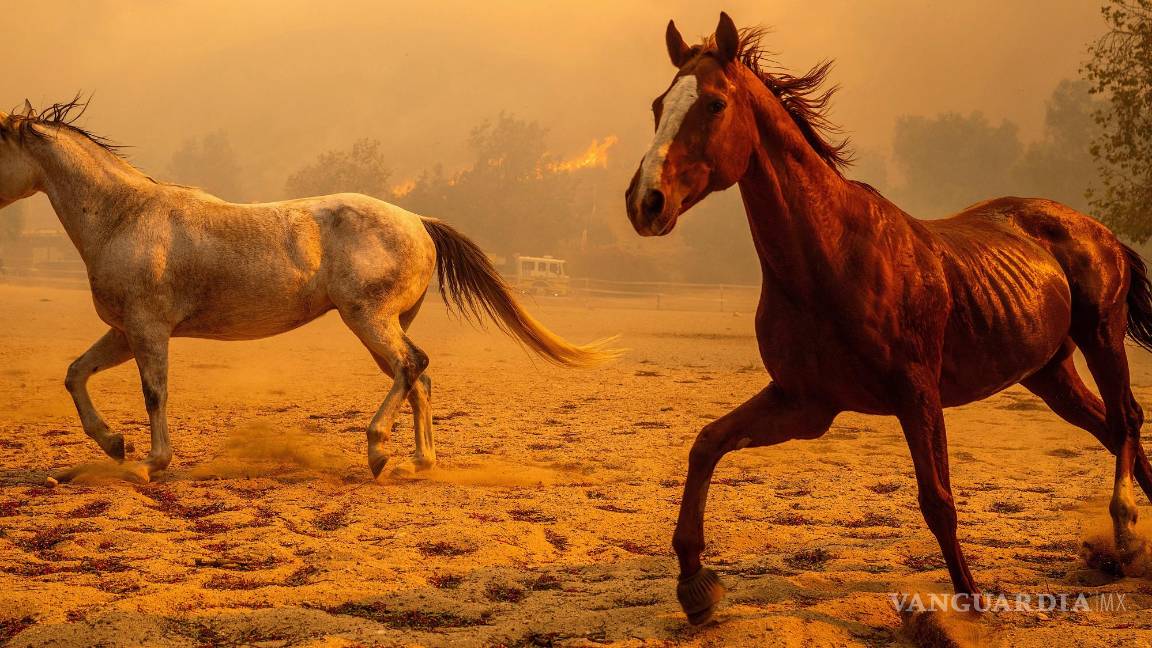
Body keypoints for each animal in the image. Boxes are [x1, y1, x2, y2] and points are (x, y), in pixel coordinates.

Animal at [0, 99, 617, 484]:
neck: (125, 216)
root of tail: (417, 221)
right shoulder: (124, 332)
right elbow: (75, 374)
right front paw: (114, 445)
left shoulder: (148, 330)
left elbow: (156, 394)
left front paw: (150, 463)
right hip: (381, 325)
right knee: (417, 377)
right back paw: (418, 462)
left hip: (368, 318)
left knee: (411, 367)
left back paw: (378, 449)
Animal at [625, 13, 1152, 625]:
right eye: (658, 105)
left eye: (714, 103)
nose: (646, 202)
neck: (831, 256)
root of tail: (1099, 230)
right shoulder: (804, 403)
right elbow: (707, 443)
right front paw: (696, 585)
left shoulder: (916, 393)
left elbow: (938, 500)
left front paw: (971, 608)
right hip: (1049, 373)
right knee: (1110, 427)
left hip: (1102, 338)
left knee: (1126, 420)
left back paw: (1126, 526)